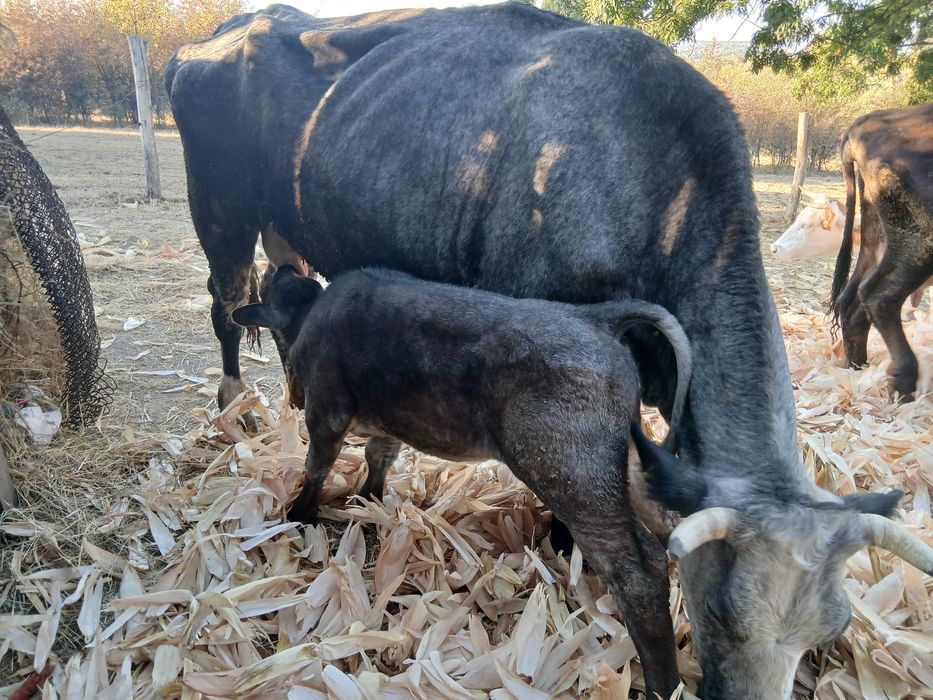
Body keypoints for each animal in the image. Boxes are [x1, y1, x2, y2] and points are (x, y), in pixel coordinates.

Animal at [830, 103, 933, 400]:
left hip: (876, 238)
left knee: (851, 301)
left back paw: (858, 369)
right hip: (919, 242)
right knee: (878, 296)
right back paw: (903, 381)